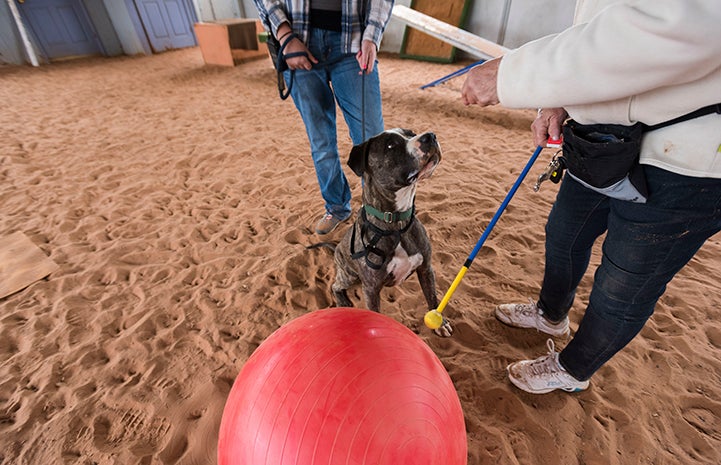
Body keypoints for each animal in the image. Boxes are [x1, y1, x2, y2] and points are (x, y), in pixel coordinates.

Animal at [330, 129, 450, 336]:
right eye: (390, 145)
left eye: (411, 133)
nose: (430, 136)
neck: (396, 223)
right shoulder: (370, 289)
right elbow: (375, 314)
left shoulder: (426, 268)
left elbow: (432, 297)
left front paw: (440, 323)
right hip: (349, 275)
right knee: (334, 286)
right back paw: (342, 300)